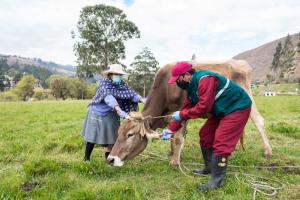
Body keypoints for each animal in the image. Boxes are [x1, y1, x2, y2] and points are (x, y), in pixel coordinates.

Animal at [108, 59, 272, 167]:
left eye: (130, 134)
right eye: (118, 132)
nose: (110, 159)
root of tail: (241, 63)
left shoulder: (181, 111)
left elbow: (178, 138)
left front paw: (175, 161)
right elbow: (172, 135)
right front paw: (172, 152)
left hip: (248, 96)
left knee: (259, 121)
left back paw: (268, 151)